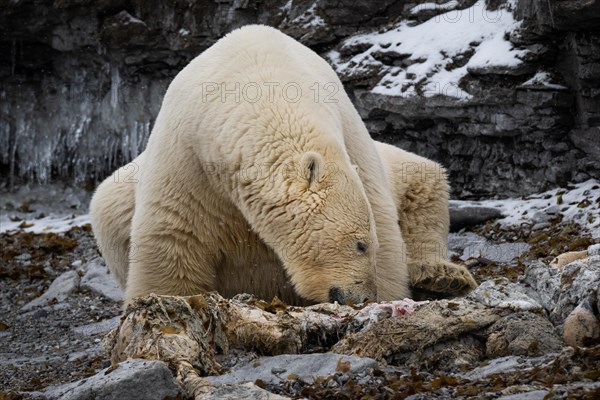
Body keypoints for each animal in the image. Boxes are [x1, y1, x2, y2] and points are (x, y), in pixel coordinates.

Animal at [89, 24, 476, 306]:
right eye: (360, 245)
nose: (362, 298)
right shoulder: (191, 157)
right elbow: (173, 237)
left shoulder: (352, 144)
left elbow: (384, 216)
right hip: (119, 193)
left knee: (424, 180)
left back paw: (444, 277)